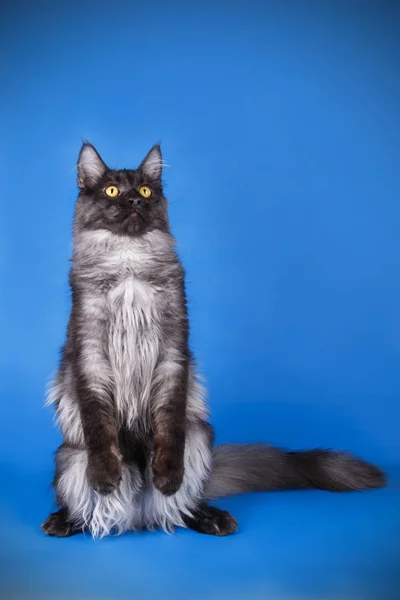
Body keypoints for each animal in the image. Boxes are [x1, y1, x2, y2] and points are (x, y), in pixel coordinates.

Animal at [42, 142, 386, 540]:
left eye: (145, 191)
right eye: (112, 191)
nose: (134, 201)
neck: (129, 264)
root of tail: (139, 516)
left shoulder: (173, 354)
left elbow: (169, 428)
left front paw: (168, 477)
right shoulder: (91, 355)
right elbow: (100, 428)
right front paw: (105, 477)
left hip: (199, 439)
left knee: (179, 506)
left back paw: (210, 517)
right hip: (69, 458)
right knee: (90, 510)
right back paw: (64, 521)